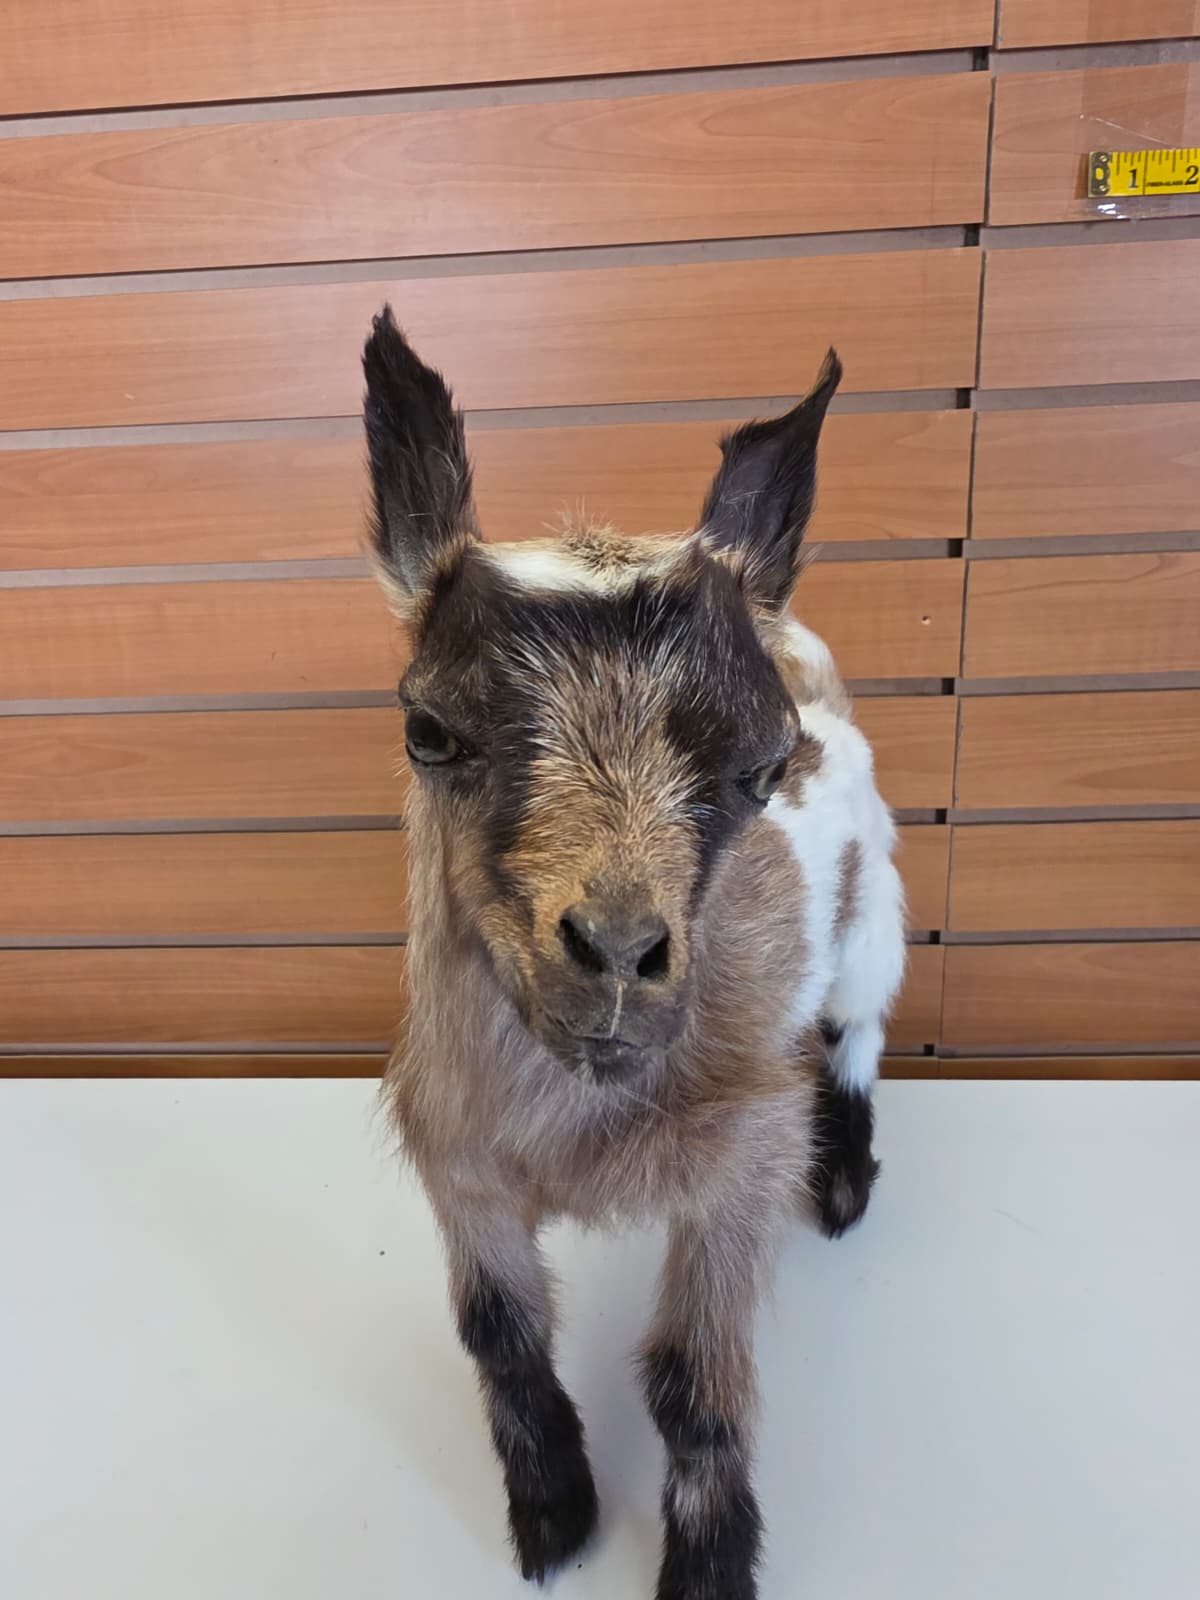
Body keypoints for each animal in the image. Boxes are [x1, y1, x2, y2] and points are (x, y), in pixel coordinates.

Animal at [363, 306, 905, 1600]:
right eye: (427, 729)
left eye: (760, 765)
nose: (614, 952)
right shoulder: (459, 1156)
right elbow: (499, 1331)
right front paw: (555, 1512)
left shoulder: (738, 1163)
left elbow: (690, 1383)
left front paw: (706, 1564)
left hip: (876, 912)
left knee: (858, 1024)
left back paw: (849, 1179)